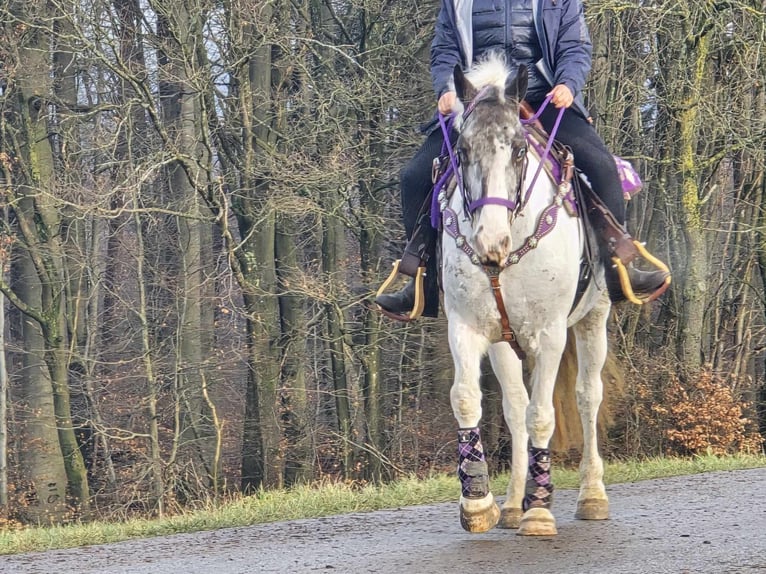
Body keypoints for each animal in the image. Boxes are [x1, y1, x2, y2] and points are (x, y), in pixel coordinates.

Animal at [444, 51, 612, 536]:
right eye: (462, 150)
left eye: (519, 149)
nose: (491, 242)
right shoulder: (466, 328)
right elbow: (468, 398)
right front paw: (478, 501)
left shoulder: (550, 333)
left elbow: (544, 414)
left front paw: (540, 510)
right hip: (505, 342)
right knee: (515, 406)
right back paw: (514, 503)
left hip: (594, 319)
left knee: (587, 395)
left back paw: (591, 496)